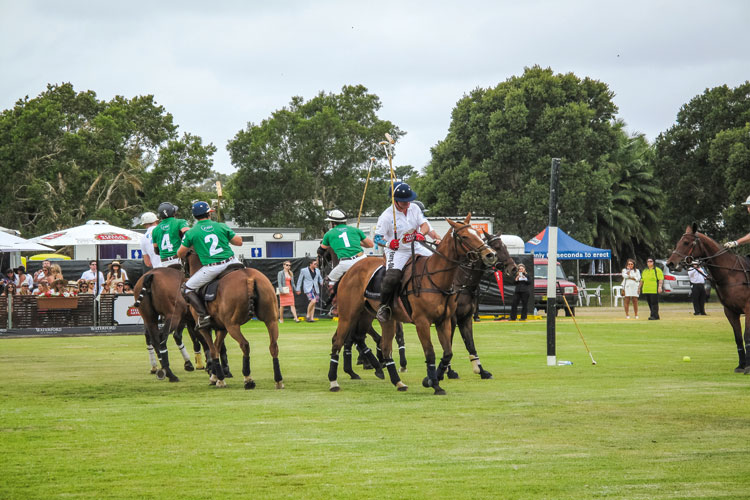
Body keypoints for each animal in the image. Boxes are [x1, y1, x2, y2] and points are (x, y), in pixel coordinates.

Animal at [186, 252, 284, 388]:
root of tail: (249, 278)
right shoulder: (222, 328)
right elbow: (217, 347)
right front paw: (216, 377)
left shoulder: (204, 328)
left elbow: (213, 350)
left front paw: (219, 379)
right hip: (271, 319)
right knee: (273, 346)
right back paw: (278, 380)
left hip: (232, 325)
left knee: (245, 344)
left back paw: (248, 379)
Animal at [330, 215, 496, 394]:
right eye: (465, 237)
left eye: (479, 234)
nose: (490, 255)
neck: (437, 280)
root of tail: (349, 270)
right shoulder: (422, 322)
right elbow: (430, 353)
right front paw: (435, 385)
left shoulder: (444, 321)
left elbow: (448, 353)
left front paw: (432, 379)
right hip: (348, 315)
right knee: (338, 341)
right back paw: (334, 382)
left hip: (378, 318)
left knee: (381, 345)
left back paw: (396, 381)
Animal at [668, 225, 750, 374]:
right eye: (678, 242)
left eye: (686, 243)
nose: (670, 263)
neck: (731, 274)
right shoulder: (730, 311)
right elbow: (738, 338)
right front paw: (741, 365)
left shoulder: (748, 309)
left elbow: (746, 335)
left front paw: (747, 367)